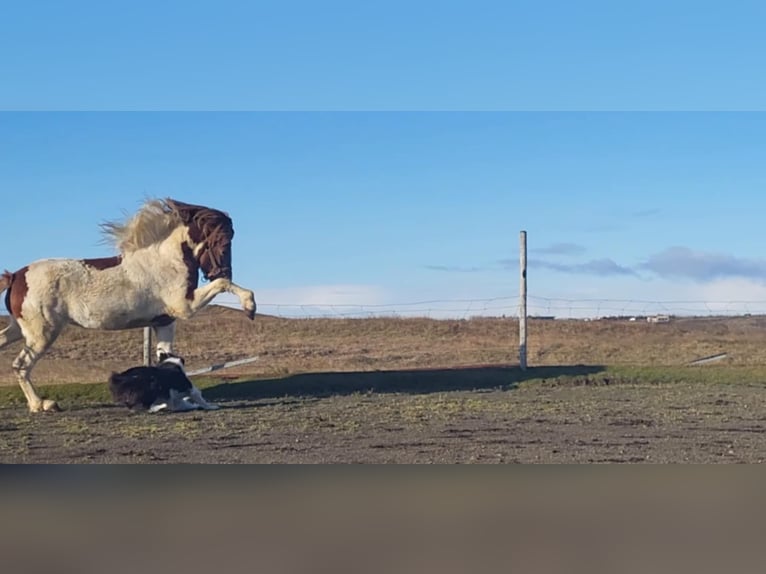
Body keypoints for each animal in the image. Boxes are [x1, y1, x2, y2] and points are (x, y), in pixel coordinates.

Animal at [0, 199, 258, 414]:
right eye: (223, 241)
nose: (222, 271)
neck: (166, 261)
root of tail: (15, 276)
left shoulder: (164, 322)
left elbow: (165, 357)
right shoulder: (186, 306)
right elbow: (223, 285)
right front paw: (250, 307)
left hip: (19, 329)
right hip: (42, 333)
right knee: (21, 365)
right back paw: (42, 405)